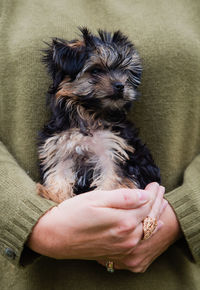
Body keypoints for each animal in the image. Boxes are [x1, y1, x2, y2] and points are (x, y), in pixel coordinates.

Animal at [37, 27, 159, 204]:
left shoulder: (112, 150)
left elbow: (111, 179)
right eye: (95, 70)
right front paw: (56, 195)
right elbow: (59, 176)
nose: (120, 86)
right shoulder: (60, 149)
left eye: (125, 73)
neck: (89, 115)